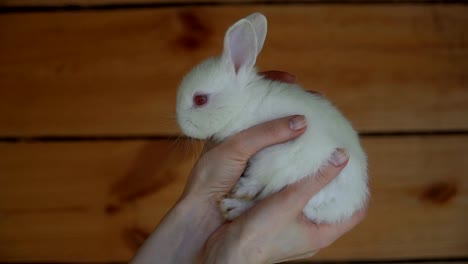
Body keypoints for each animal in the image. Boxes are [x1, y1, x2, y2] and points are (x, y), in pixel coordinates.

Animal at [176, 12, 370, 223]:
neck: (244, 104)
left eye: (200, 99)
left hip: (279, 164)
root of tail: (342, 208)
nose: (182, 124)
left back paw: (233, 204)